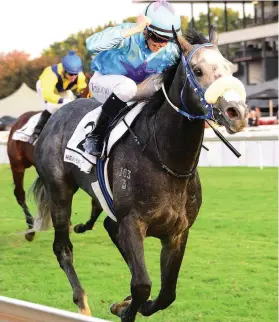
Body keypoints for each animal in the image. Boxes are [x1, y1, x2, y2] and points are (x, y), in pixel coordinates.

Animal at [31, 28, 248, 322]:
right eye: (198, 70)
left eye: (228, 67)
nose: (237, 113)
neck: (166, 160)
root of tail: (54, 117)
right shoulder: (133, 222)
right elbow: (143, 284)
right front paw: (126, 308)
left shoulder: (178, 232)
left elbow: (167, 293)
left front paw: (127, 304)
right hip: (59, 191)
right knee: (63, 248)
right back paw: (82, 302)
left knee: (110, 228)